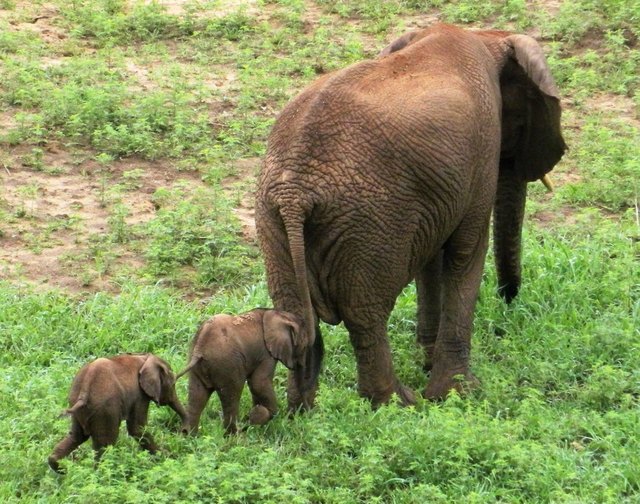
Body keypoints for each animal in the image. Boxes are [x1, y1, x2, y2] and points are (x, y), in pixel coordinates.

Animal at [48, 354, 186, 473]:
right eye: (173, 384)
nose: (183, 432)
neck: (144, 356)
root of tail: (85, 389)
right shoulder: (139, 395)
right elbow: (137, 429)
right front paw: (168, 457)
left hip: (75, 404)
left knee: (76, 436)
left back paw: (64, 470)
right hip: (106, 409)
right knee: (106, 442)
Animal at [177, 308, 315, 435]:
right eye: (304, 346)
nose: (306, 414)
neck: (277, 314)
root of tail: (200, 348)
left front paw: (257, 414)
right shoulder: (267, 354)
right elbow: (259, 382)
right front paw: (265, 415)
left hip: (197, 366)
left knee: (197, 397)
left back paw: (189, 435)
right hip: (228, 364)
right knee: (232, 394)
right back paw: (235, 434)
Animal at [254, 23, 566, 408]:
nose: (508, 302)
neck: (487, 37)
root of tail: (295, 191)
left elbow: (430, 261)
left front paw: (427, 364)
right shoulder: (483, 148)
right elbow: (466, 252)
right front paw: (458, 394)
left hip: (275, 220)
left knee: (295, 313)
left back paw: (302, 411)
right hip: (367, 223)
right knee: (365, 315)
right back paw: (397, 403)